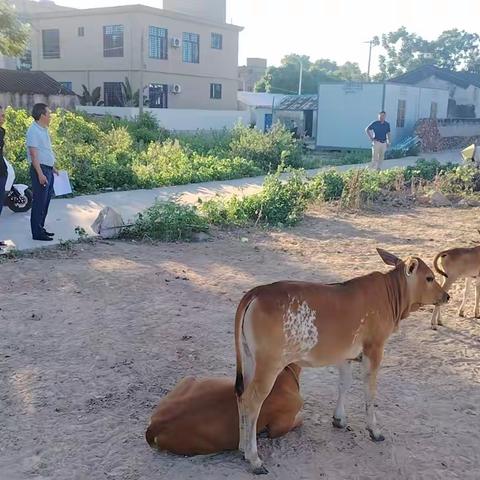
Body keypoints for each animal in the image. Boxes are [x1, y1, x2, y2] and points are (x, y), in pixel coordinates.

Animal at [234, 249, 448, 474]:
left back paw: (242, 447)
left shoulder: (345, 355)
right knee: (252, 401)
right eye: (429, 278)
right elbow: (370, 391)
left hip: (249, 359)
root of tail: (257, 292)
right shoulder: (374, 350)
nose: (446, 296)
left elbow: (344, 384)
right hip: (269, 364)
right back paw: (254, 458)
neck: (390, 295)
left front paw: (339, 419)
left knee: (240, 394)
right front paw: (374, 429)